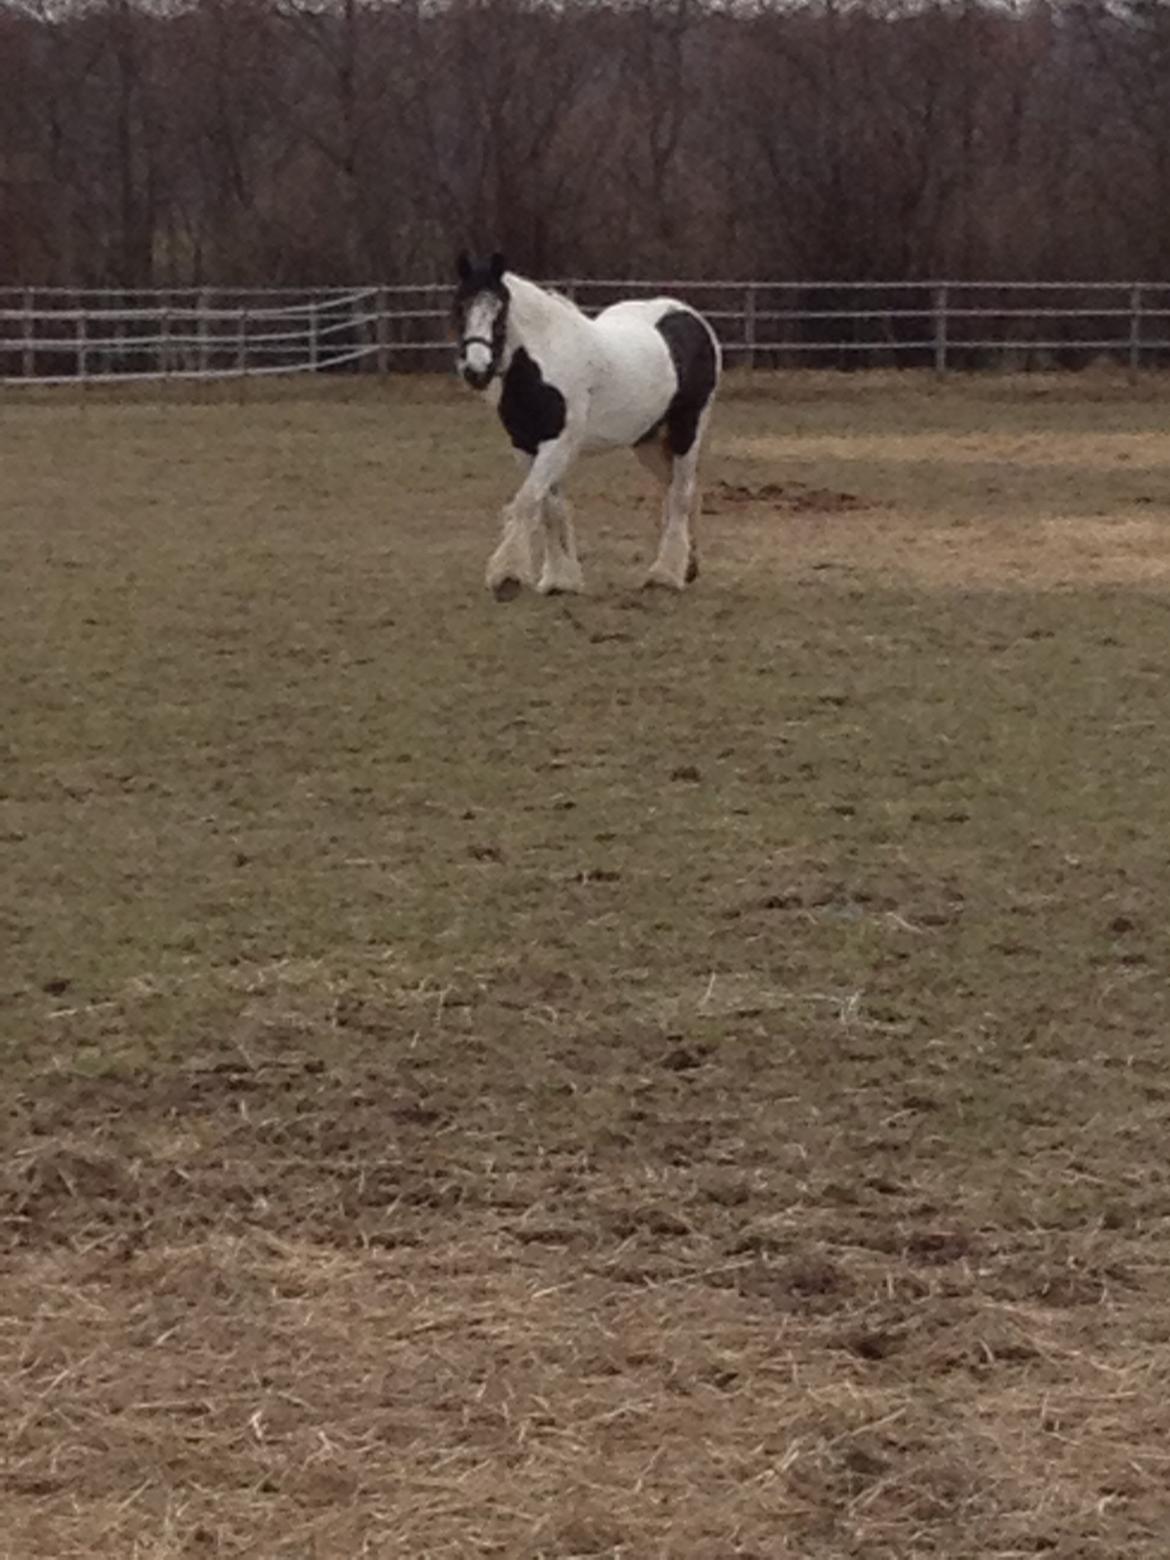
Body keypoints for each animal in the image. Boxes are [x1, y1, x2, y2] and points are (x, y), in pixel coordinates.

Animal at [452, 252, 720, 599]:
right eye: (460, 306)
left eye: (500, 311)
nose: (476, 370)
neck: (546, 359)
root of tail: (692, 319)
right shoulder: (525, 445)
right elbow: (549, 507)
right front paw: (560, 579)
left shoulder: (557, 443)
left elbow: (526, 501)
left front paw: (507, 576)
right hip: (648, 441)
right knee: (676, 488)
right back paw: (688, 567)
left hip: (687, 431)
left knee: (681, 494)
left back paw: (665, 575)